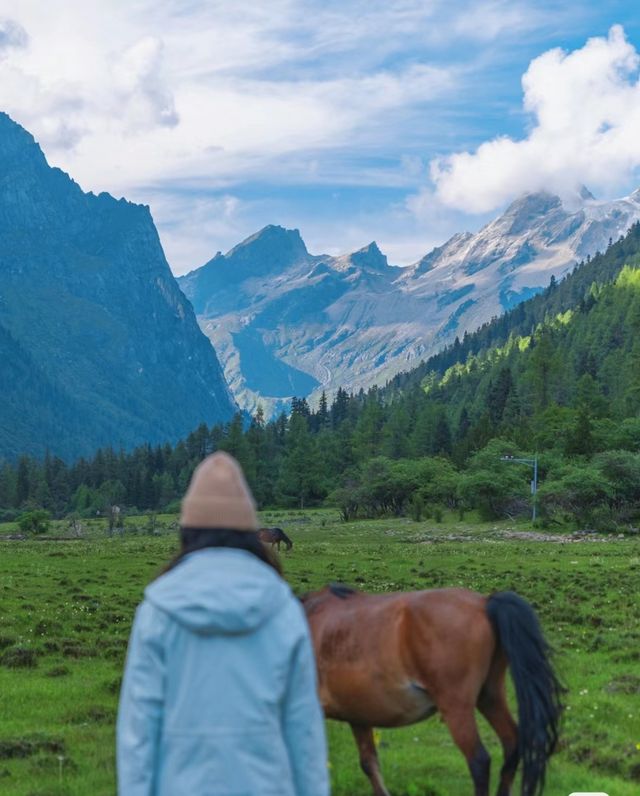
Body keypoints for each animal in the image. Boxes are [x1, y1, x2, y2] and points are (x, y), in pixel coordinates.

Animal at [302, 584, 564, 796]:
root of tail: (483, 602)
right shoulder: (358, 716)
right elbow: (369, 764)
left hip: (456, 707)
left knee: (479, 761)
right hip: (490, 697)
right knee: (512, 744)